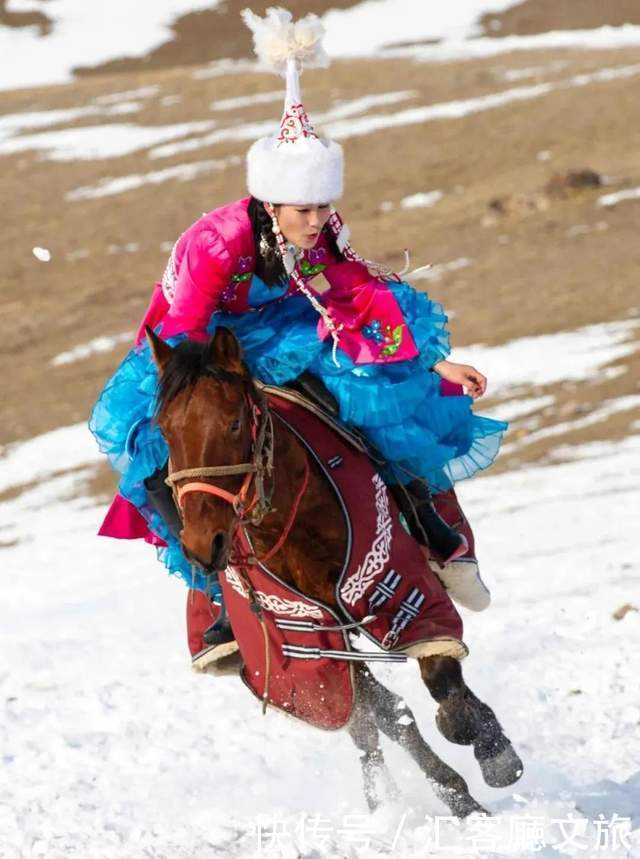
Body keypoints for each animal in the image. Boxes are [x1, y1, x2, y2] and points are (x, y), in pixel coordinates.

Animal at [148, 328, 524, 820]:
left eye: (233, 423)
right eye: (165, 432)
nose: (201, 545)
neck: (291, 521)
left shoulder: (398, 586)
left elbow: (443, 685)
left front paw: (495, 753)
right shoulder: (305, 640)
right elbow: (379, 713)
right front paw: (460, 798)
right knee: (373, 720)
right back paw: (383, 800)